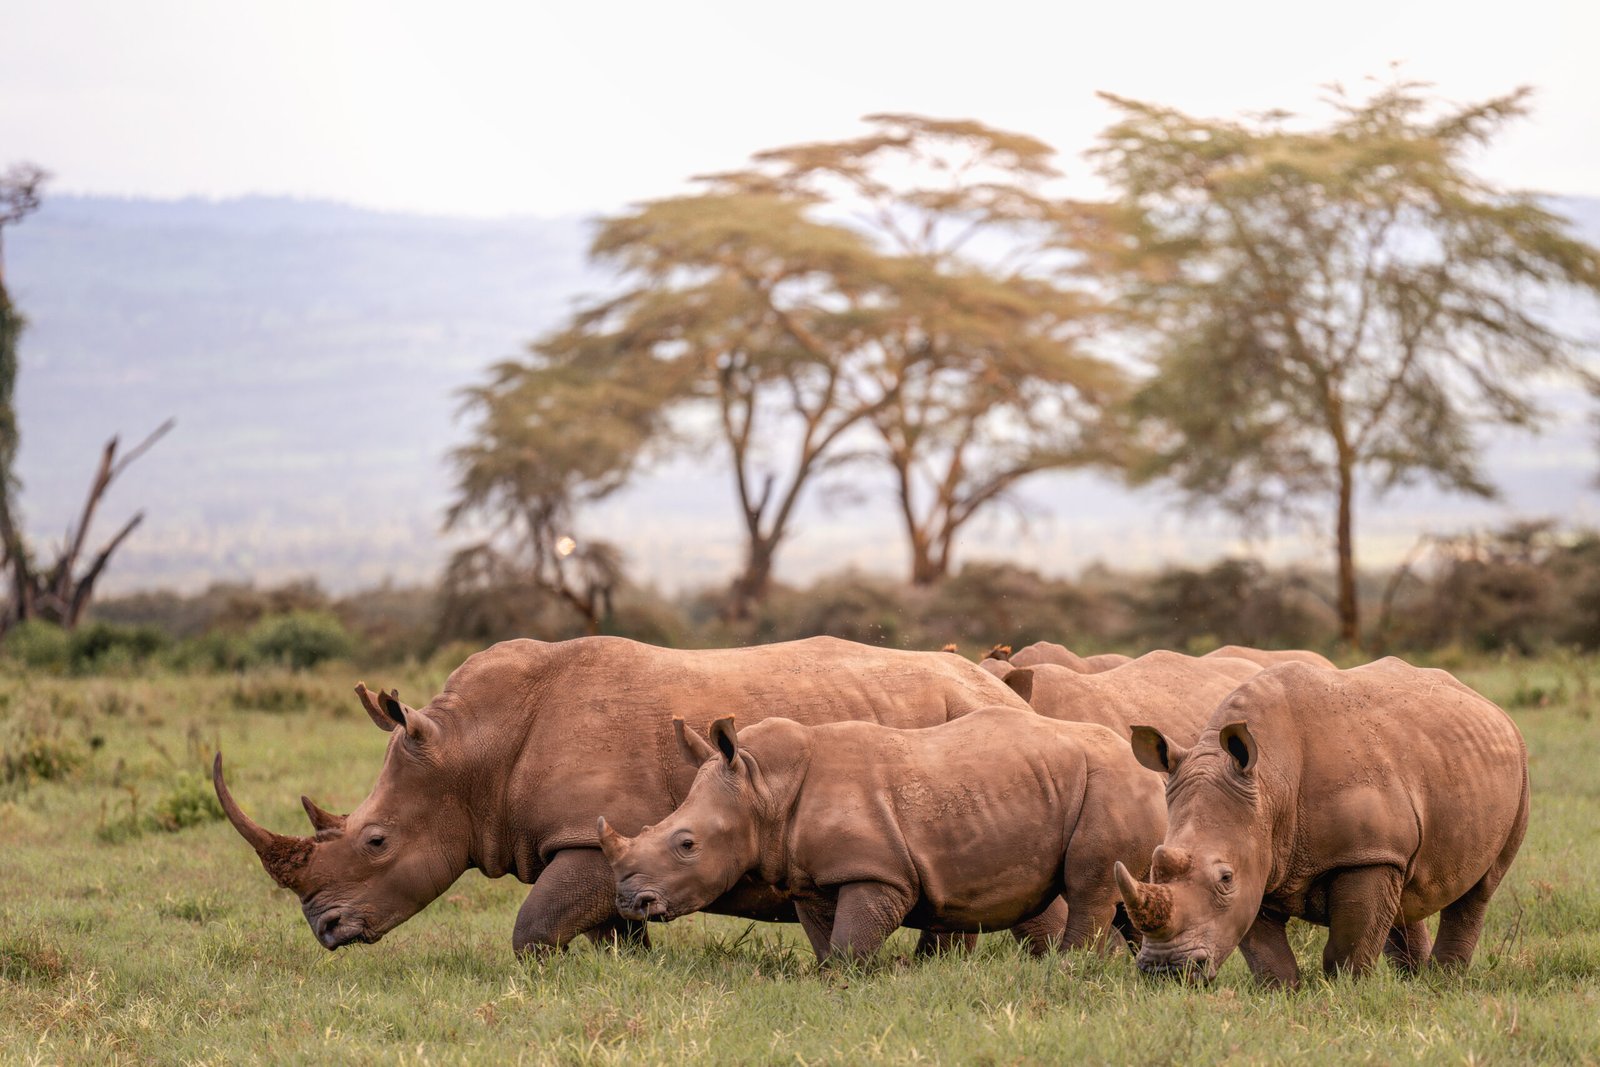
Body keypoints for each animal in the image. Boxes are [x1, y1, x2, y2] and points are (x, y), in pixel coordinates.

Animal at [212, 636, 1028, 955]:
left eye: (376, 841)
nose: (324, 929)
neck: (472, 753)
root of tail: (1006, 689)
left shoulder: (589, 832)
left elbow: (536, 925)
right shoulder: (617, 845)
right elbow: (611, 923)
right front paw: (625, 968)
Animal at [598, 707, 1167, 963]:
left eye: (687, 844)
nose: (629, 902)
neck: (763, 789)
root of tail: (1152, 774)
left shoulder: (878, 874)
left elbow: (852, 942)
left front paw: (851, 984)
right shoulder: (812, 877)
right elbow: (827, 940)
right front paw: (832, 980)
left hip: (1110, 783)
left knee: (1091, 887)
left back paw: (1071, 967)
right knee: (1124, 893)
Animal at [1114, 658, 1529, 985]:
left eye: (1225, 878)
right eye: (1154, 866)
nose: (1166, 970)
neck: (1269, 784)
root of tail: (1484, 702)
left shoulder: (1364, 854)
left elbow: (1350, 943)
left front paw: (1345, 991)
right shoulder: (1260, 854)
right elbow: (1265, 951)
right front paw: (1282, 992)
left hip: (1519, 770)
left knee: (1480, 888)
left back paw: (1444, 982)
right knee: (1404, 886)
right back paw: (1415, 980)